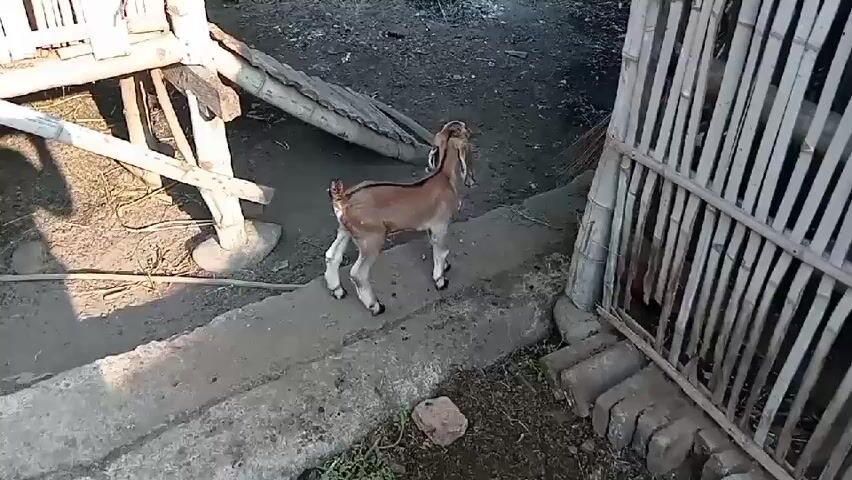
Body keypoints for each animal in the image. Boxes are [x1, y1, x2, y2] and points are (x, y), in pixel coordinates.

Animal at [323, 120, 476, 315]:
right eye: (465, 131)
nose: (470, 130)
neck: (443, 176)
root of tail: (343, 199)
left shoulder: (431, 227)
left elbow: (436, 248)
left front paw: (445, 266)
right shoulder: (440, 224)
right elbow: (442, 251)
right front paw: (441, 280)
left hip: (345, 230)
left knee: (332, 256)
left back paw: (337, 290)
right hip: (371, 239)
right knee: (358, 274)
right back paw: (375, 306)